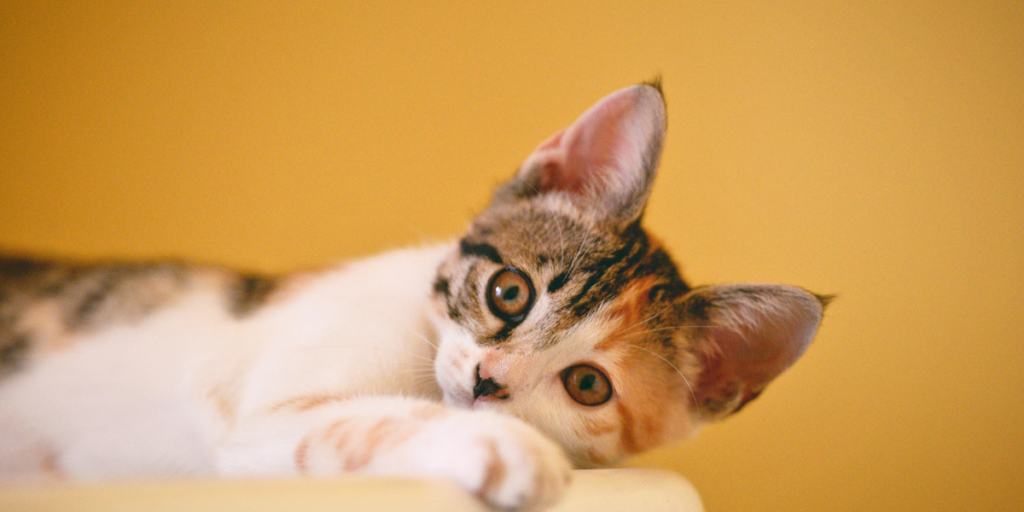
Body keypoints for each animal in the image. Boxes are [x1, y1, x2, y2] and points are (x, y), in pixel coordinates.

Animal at [0, 81, 827, 509]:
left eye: (588, 385)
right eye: (508, 292)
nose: (489, 383)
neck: (424, 363)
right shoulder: (259, 421)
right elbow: (359, 419)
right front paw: (503, 449)